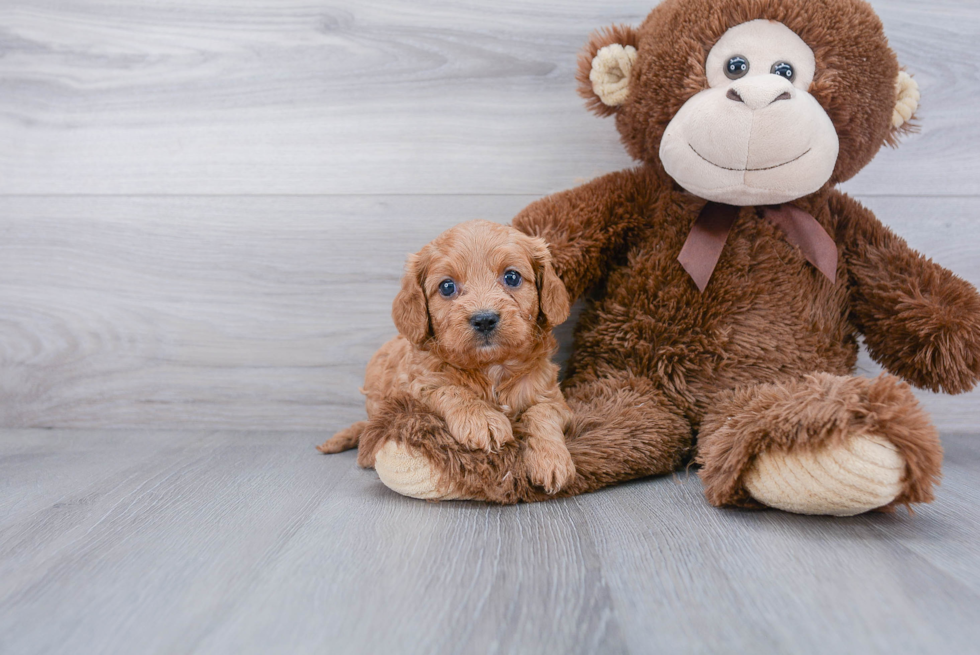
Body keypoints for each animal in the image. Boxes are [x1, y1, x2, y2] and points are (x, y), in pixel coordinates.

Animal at [318, 219, 580, 492]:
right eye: (447, 287)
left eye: (512, 277)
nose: (484, 319)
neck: (491, 367)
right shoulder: (415, 387)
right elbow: (449, 389)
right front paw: (482, 420)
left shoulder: (553, 397)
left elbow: (542, 413)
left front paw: (552, 459)